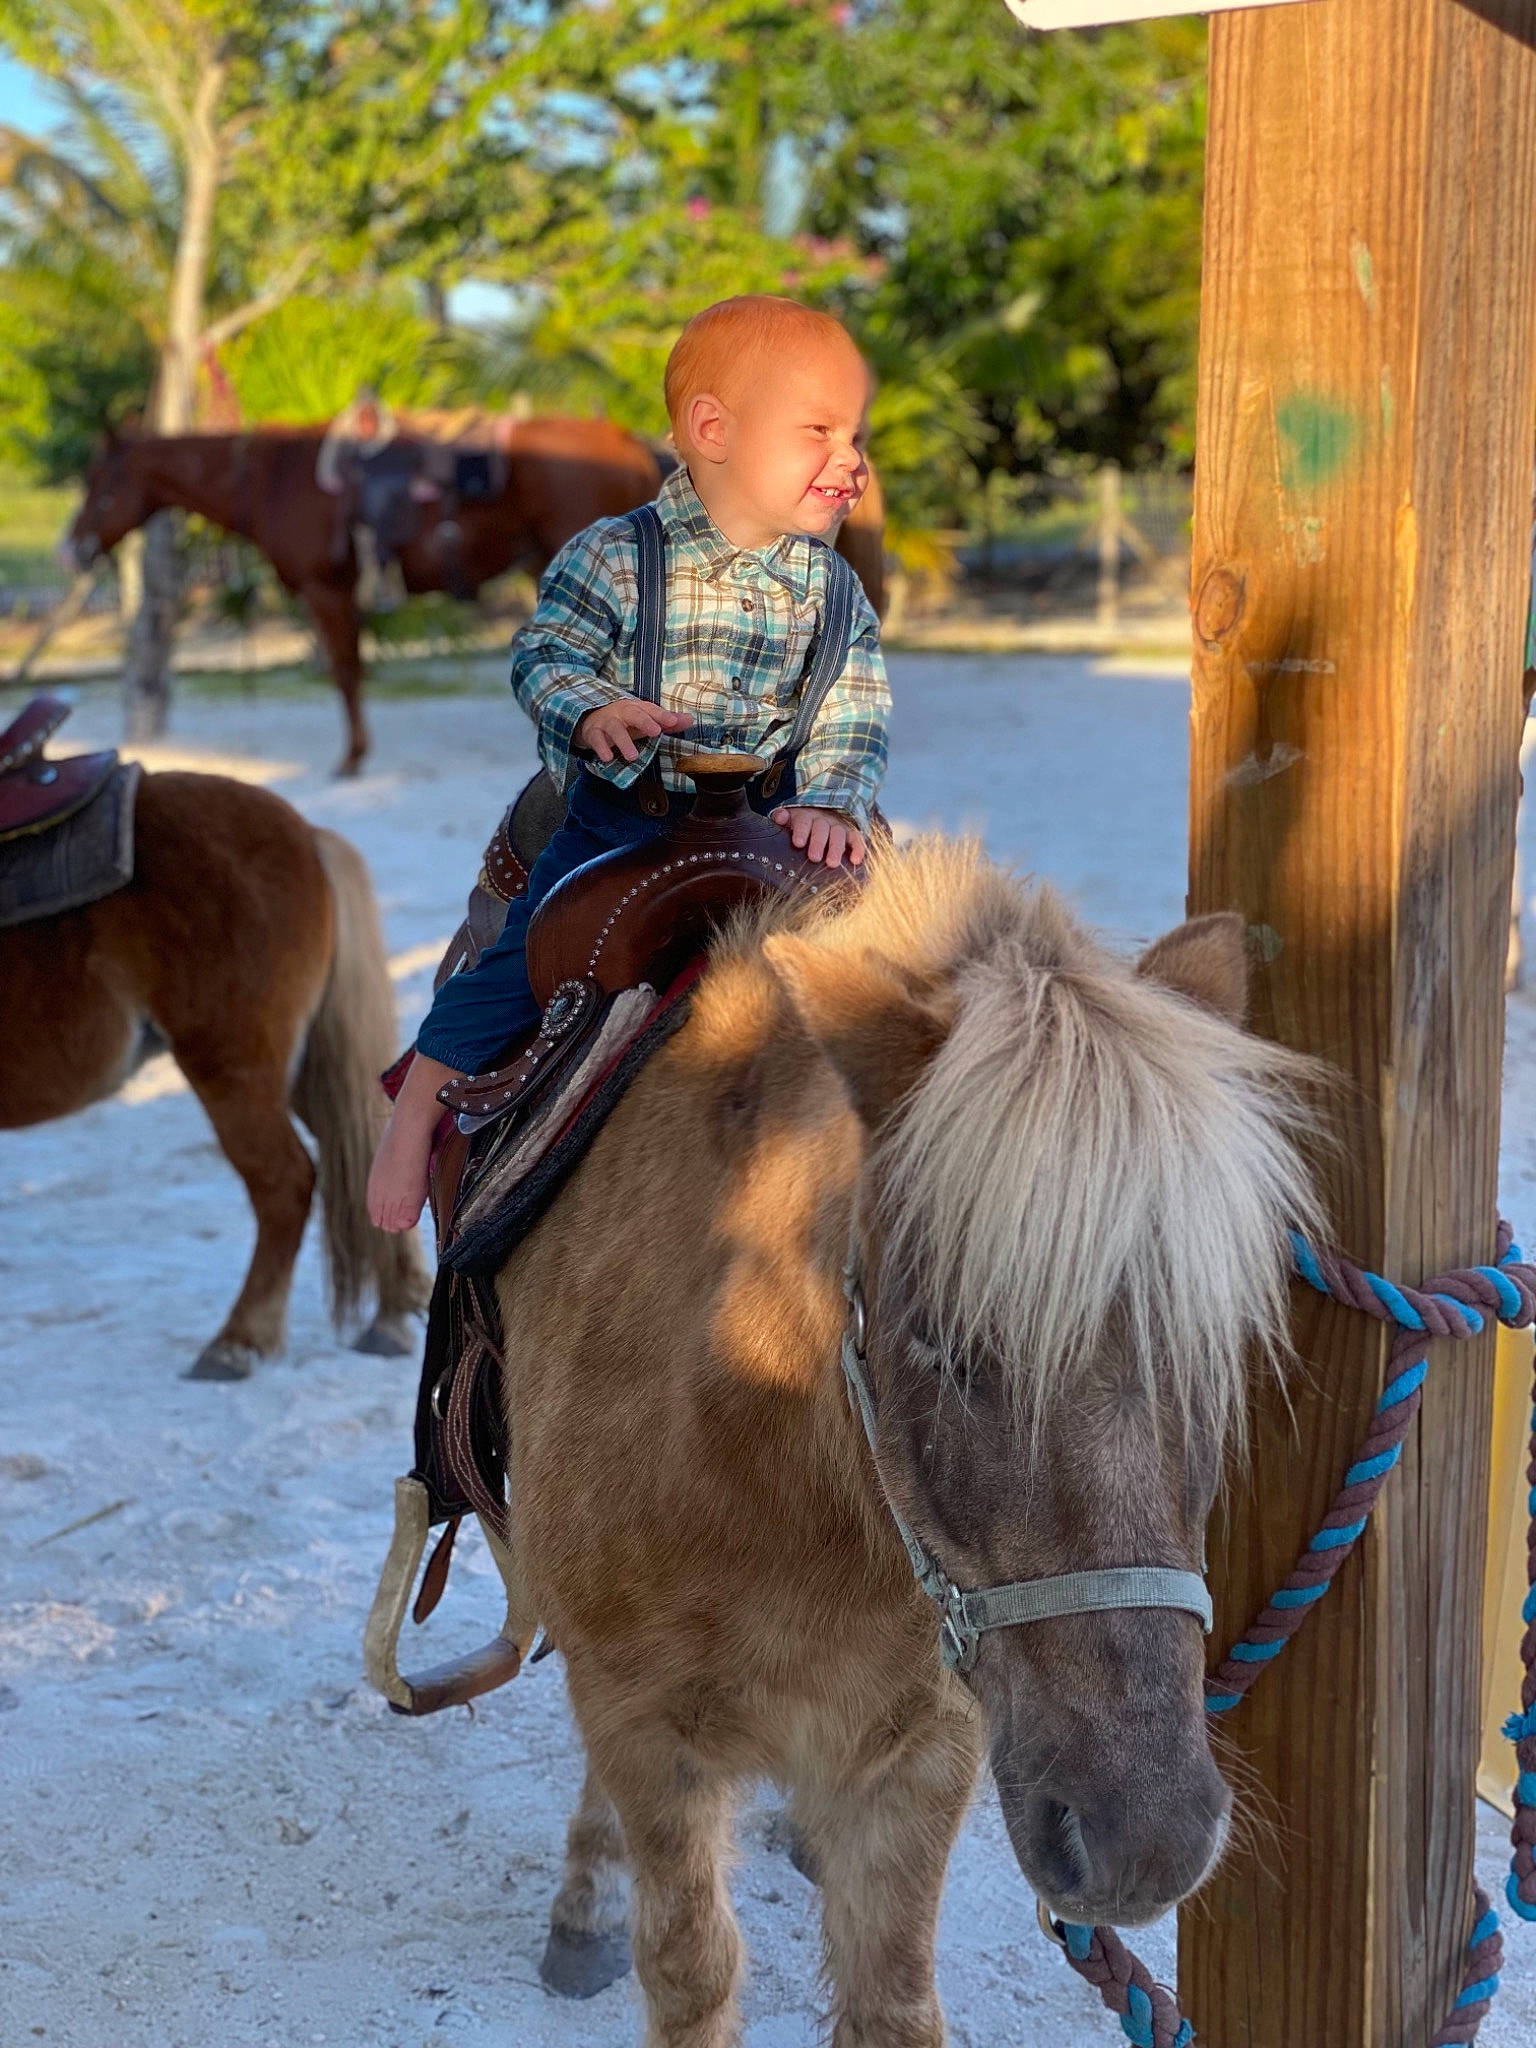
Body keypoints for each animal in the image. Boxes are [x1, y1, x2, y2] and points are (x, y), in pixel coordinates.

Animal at [0, 770, 431, 1378]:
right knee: (372, 1151)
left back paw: (238, 1340)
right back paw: (390, 1315)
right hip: (300, 1069)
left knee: (285, 1182)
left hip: (232, 1069)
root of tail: (307, 834)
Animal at [62, 426, 890, 779]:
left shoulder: (329, 593)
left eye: (101, 485)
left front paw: (352, 760)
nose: (72, 548)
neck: (277, 475)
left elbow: (346, 676)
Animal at [482, 838, 1321, 2042]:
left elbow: (890, 1996)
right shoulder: (644, 1728)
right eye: (949, 1345)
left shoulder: (930, 1752)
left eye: (1213, 1343)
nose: (1147, 1835)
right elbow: (691, 1971)